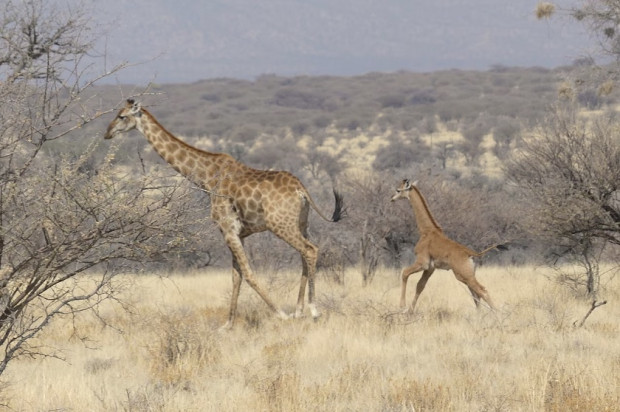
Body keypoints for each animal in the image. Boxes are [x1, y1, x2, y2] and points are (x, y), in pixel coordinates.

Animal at [103, 99, 342, 328]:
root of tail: (302, 190)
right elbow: (236, 276)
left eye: (121, 116)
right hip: (301, 223)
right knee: (304, 254)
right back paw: (299, 310)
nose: (107, 133)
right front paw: (228, 325)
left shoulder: (227, 229)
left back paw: (312, 310)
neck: (206, 177)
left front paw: (280, 315)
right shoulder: (238, 233)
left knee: (310, 250)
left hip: (280, 224)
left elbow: (248, 273)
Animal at [392, 179, 498, 314]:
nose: (392, 198)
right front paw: (410, 311)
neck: (426, 231)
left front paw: (402, 306)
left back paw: (497, 314)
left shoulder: (422, 262)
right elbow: (420, 286)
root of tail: (472, 254)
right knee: (476, 294)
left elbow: (405, 273)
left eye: (398, 190)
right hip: (468, 275)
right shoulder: (430, 268)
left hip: (463, 275)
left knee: (482, 291)